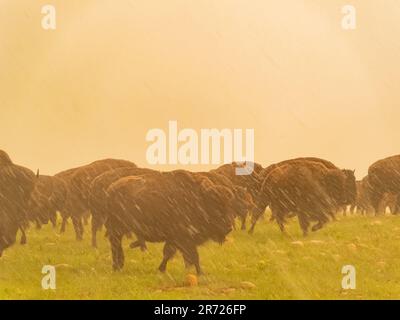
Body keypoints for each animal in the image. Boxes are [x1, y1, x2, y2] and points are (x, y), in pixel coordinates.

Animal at [104, 170, 252, 272]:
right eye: (216, 206)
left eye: (230, 206)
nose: (228, 227)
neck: (200, 198)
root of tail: (111, 188)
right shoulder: (184, 237)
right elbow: (192, 255)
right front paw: (200, 273)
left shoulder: (176, 239)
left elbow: (171, 253)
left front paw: (163, 269)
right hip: (116, 228)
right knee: (115, 245)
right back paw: (117, 266)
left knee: (117, 245)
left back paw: (119, 265)